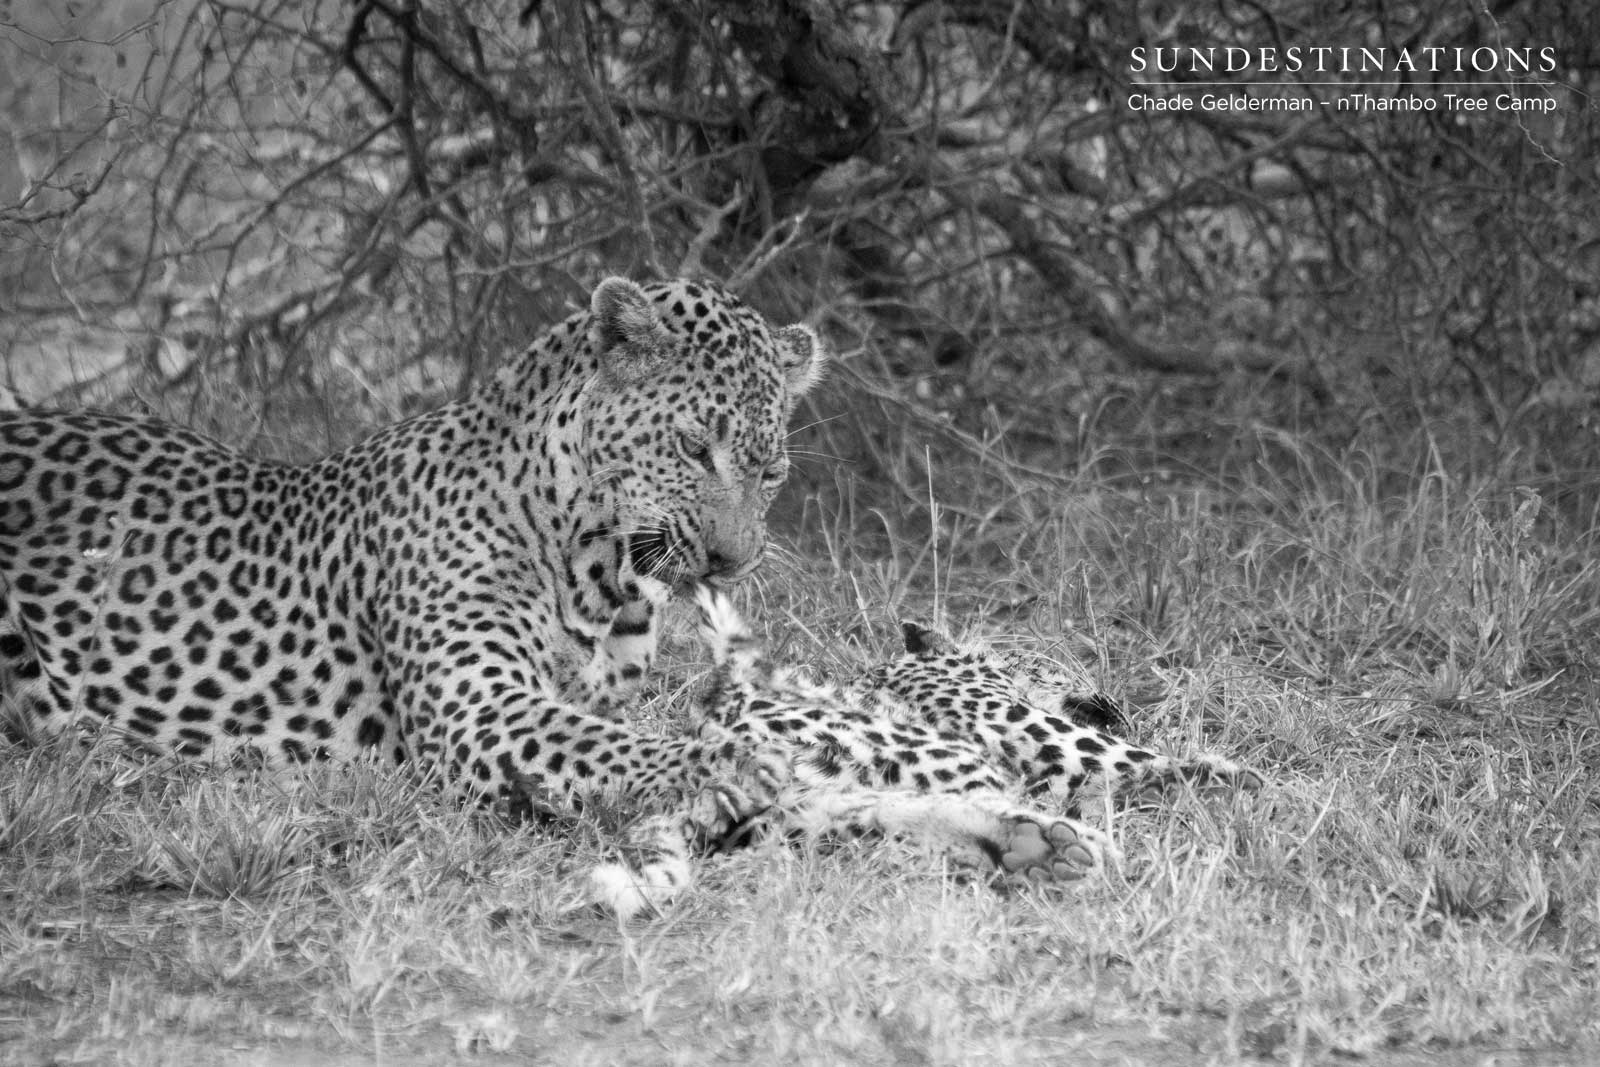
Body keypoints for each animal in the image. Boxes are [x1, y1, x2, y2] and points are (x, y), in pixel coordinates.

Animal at [0, 278, 830, 888]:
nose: (732, 558)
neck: (601, 570)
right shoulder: (477, 707)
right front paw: (735, 765)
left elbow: (619, 728)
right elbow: (620, 745)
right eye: (691, 447)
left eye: (772, 471)